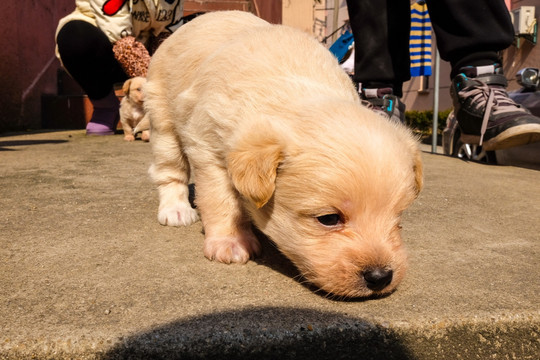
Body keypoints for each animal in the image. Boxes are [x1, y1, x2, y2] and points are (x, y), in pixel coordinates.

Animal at [143, 11, 422, 298]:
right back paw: (176, 209)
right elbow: (222, 201)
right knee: (169, 170)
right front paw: (230, 241)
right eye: (328, 219)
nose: (380, 277)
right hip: (162, 117)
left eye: (398, 216)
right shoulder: (208, 146)